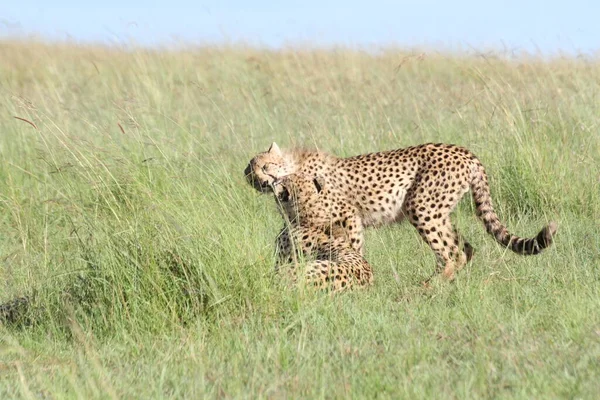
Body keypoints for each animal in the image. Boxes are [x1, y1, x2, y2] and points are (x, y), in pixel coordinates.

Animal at [245, 142, 556, 280]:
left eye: (266, 166)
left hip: (420, 206)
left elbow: (353, 247)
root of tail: (464, 151)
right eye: (251, 173)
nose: (259, 180)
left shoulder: (349, 216)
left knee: (452, 252)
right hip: (437, 211)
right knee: (465, 248)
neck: (292, 168)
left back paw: (428, 288)